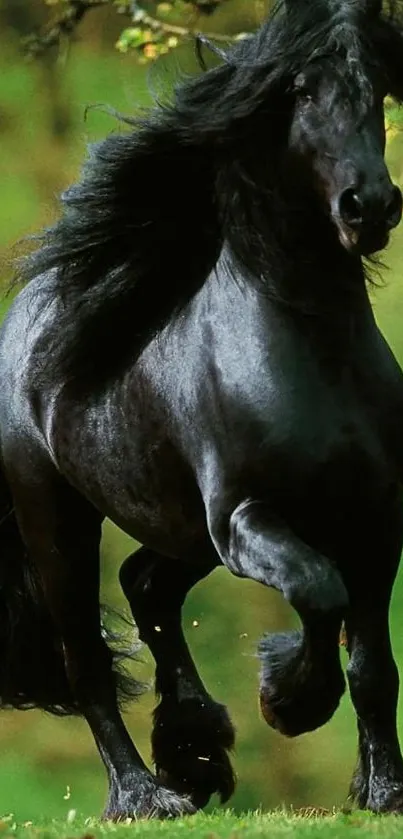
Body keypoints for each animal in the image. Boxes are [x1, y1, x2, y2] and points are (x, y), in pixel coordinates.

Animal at [0, 0, 403, 820]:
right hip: (57, 519)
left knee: (146, 584)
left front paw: (383, 790)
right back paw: (146, 795)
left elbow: (375, 664)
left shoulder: (376, 519)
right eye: (301, 91)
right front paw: (287, 698)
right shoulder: (248, 516)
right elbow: (319, 592)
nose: (370, 206)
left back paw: (194, 749)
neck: (312, 354)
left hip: (180, 526)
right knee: (85, 662)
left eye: (378, 84)